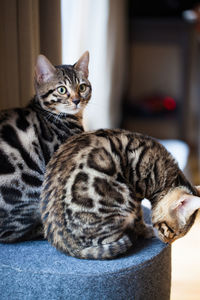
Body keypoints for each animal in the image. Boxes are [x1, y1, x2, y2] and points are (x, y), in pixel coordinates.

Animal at [40, 127, 200, 258]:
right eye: (172, 232)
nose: (168, 243)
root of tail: (69, 247)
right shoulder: (136, 193)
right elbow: (139, 219)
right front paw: (146, 230)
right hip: (124, 199)